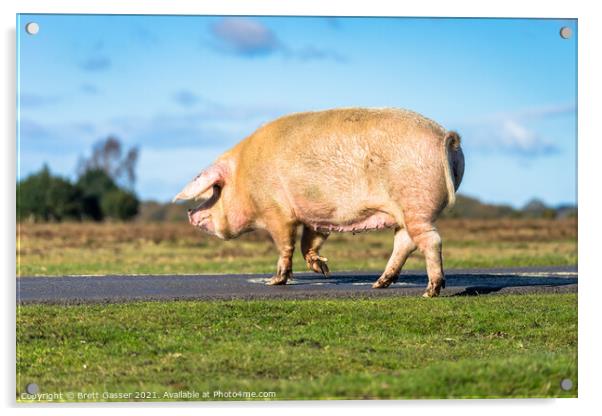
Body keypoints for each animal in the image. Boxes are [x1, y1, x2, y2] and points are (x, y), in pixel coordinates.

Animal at [173, 107, 464, 296]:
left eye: (215, 190)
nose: (189, 212)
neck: (245, 177)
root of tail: (446, 136)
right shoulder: (315, 217)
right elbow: (309, 242)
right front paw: (323, 270)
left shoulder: (277, 212)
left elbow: (285, 245)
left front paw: (274, 281)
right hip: (405, 213)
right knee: (404, 243)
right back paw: (379, 284)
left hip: (416, 204)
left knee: (430, 240)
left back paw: (430, 291)